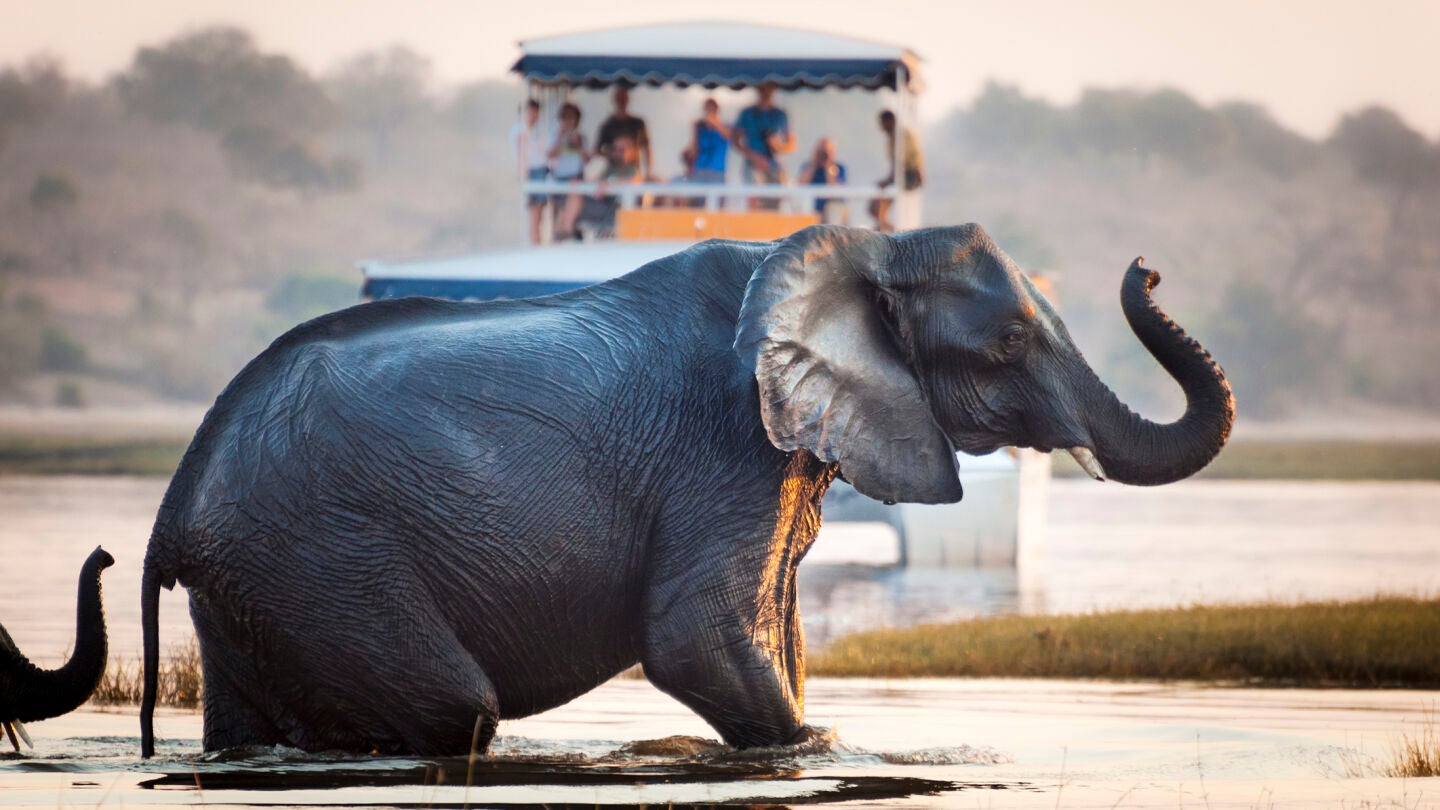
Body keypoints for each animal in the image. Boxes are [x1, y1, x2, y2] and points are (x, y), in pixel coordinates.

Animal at [140, 224, 1233, 757]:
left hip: (262, 585)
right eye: (1006, 343)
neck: (852, 251)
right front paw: (820, 748)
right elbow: (695, 637)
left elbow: (776, 636)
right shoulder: (724, 446)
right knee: (455, 708)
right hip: (323, 558)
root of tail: (174, 511)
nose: (1148, 267)